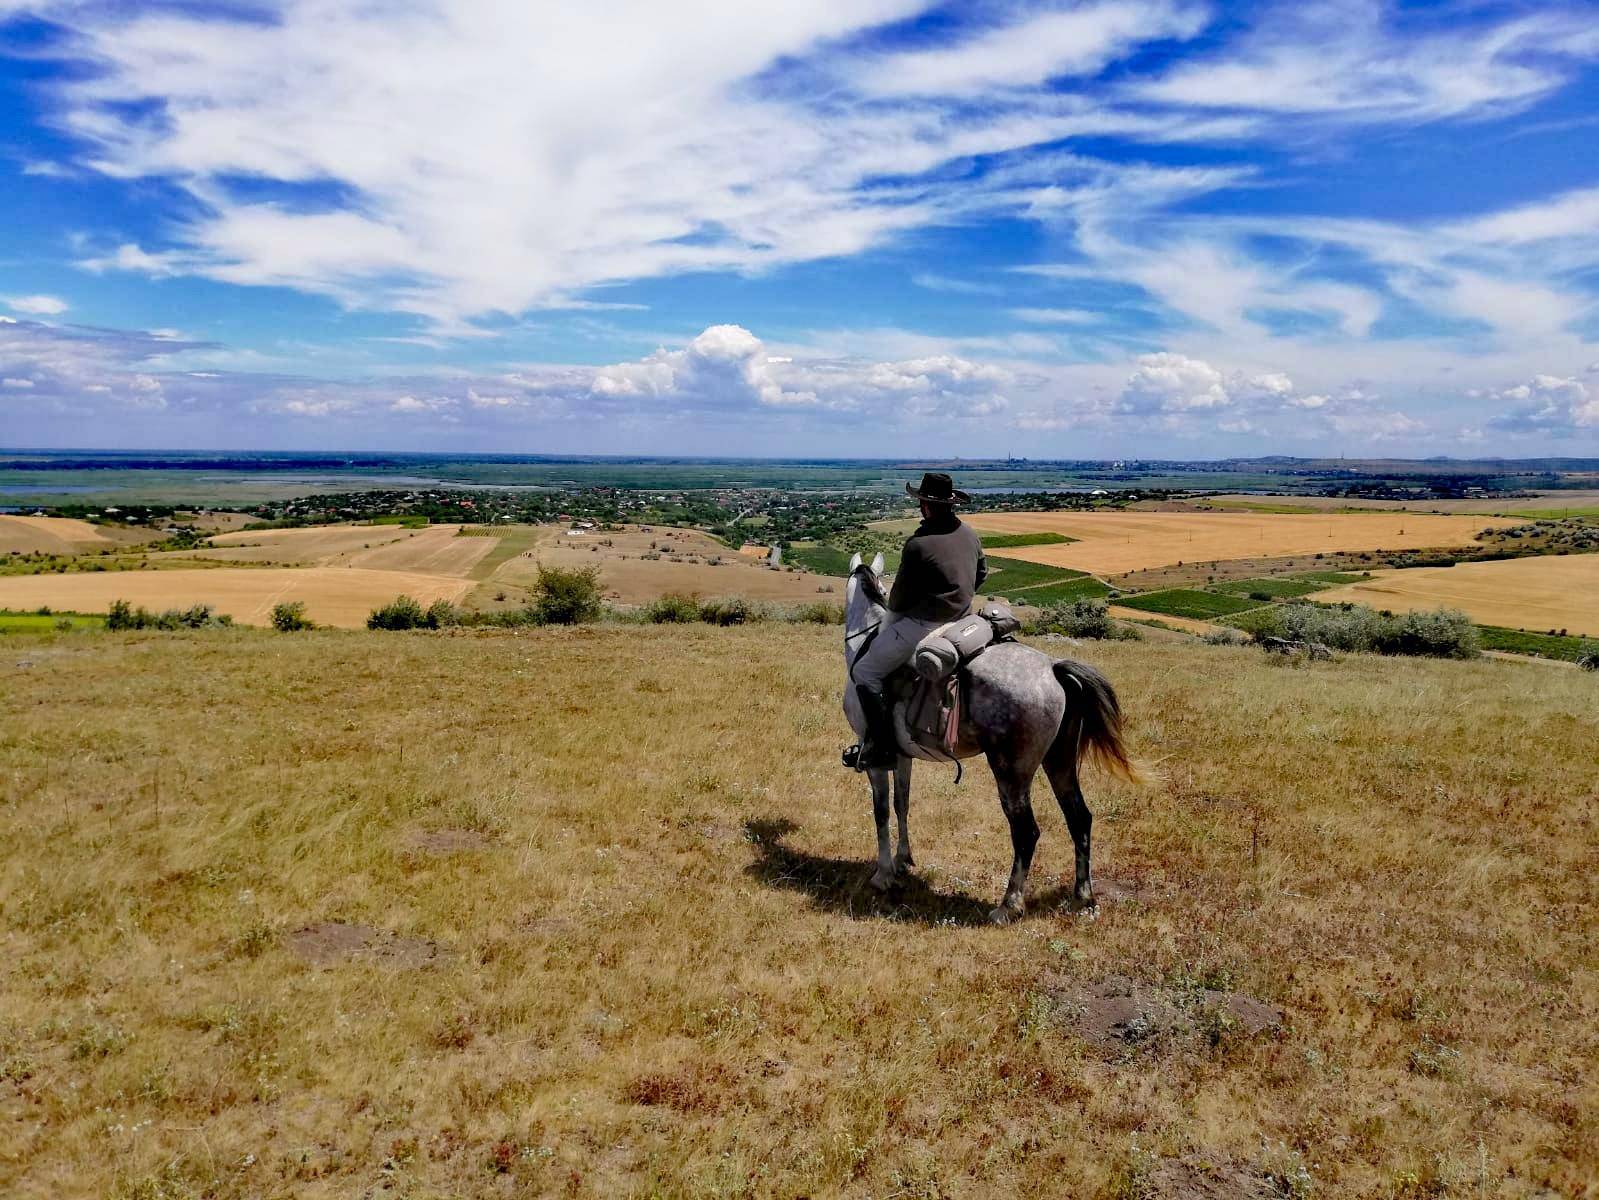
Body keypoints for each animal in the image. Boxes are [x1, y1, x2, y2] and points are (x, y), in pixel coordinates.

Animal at [850, 550, 1138, 928]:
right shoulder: (902, 756)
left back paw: (1008, 906)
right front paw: (902, 861)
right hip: (1059, 762)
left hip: (1011, 773)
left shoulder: (876, 757)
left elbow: (881, 811)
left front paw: (883, 874)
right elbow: (903, 804)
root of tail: (1053, 670)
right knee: (1080, 818)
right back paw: (1083, 898)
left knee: (1026, 832)